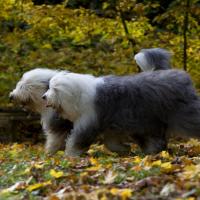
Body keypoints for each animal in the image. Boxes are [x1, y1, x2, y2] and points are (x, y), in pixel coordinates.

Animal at [42, 69, 200, 157]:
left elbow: (78, 140)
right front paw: (124, 149)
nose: (44, 97)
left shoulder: (89, 121)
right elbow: (111, 142)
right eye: (49, 87)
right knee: (155, 139)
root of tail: (183, 77)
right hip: (150, 121)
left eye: (54, 89)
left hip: (182, 113)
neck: (78, 94)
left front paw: (70, 155)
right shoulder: (112, 125)